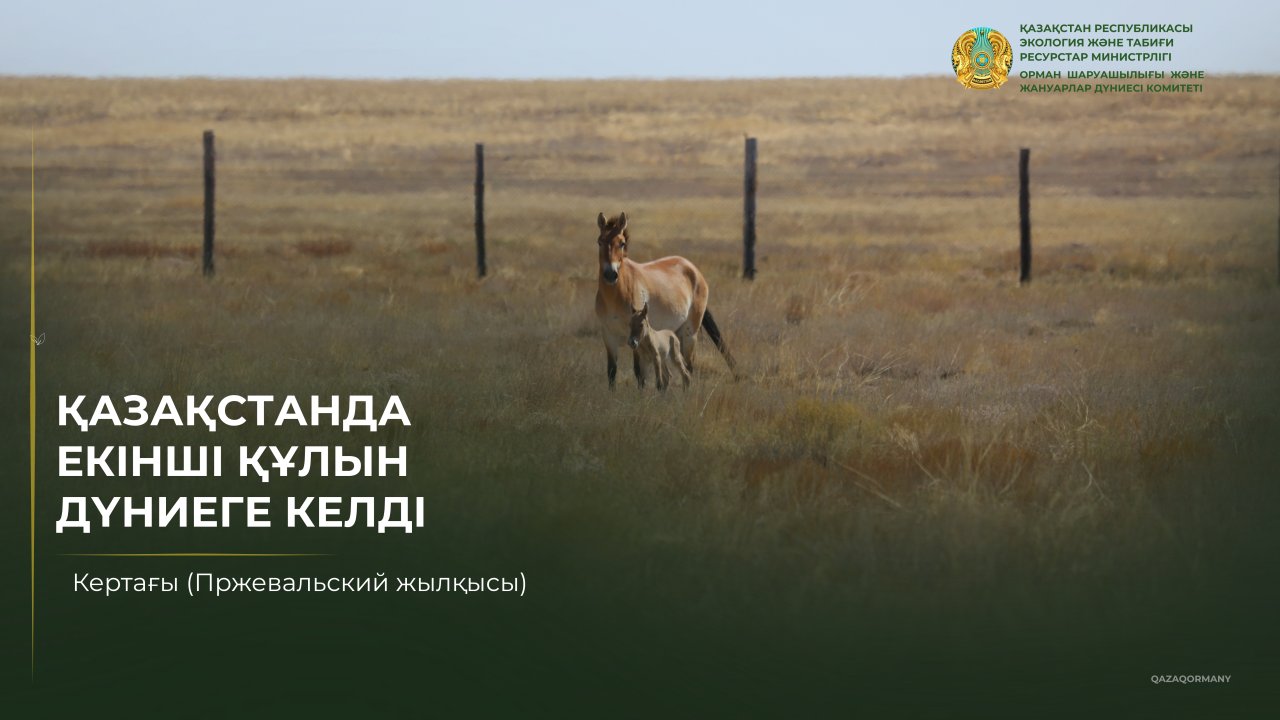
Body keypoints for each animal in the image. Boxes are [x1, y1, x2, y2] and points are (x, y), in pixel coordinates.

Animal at [593, 211, 736, 388]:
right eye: (600, 241)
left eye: (622, 243)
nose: (610, 274)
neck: (615, 295)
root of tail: (693, 269)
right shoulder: (608, 337)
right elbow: (611, 372)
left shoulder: (635, 338)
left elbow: (639, 373)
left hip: (689, 333)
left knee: (688, 366)